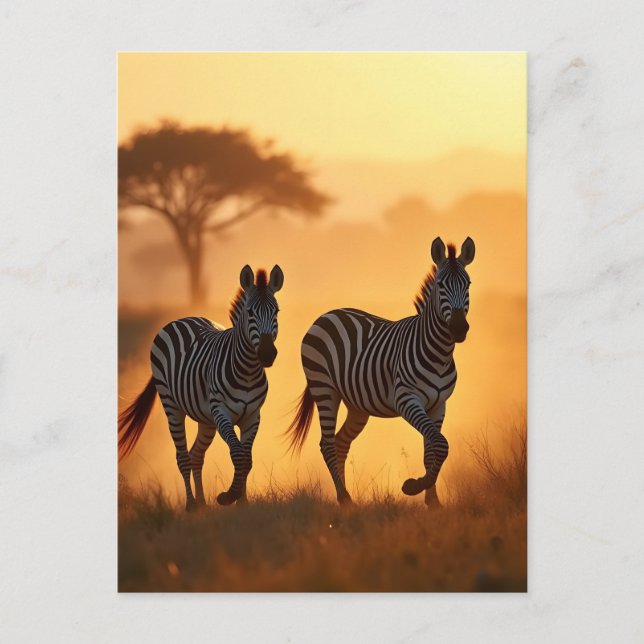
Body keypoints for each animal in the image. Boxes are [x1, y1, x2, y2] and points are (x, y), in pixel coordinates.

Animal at [118, 265, 284, 510]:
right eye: (250, 313)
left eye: (276, 312)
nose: (267, 354)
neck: (247, 371)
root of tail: (183, 319)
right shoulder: (221, 411)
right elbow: (237, 454)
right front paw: (228, 496)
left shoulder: (253, 415)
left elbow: (247, 458)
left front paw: (243, 503)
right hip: (172, 407)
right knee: (183, 457)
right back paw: (191, 506)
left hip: (206, 420)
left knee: (196, 455)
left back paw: (203, 504)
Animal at [287, 237, 475, 506]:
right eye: (440, 285)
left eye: (467, 284)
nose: (459, 328)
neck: (439, 354)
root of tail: (326, 314)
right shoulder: (407, 399)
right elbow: (440, 444)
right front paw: (413, 486)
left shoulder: (439, 405)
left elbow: (432, 451)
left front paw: (433, 501)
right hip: (324, 388)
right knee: (327, 444)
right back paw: (344, 498)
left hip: (356, 404)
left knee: (341, 442)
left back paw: (346, 497)